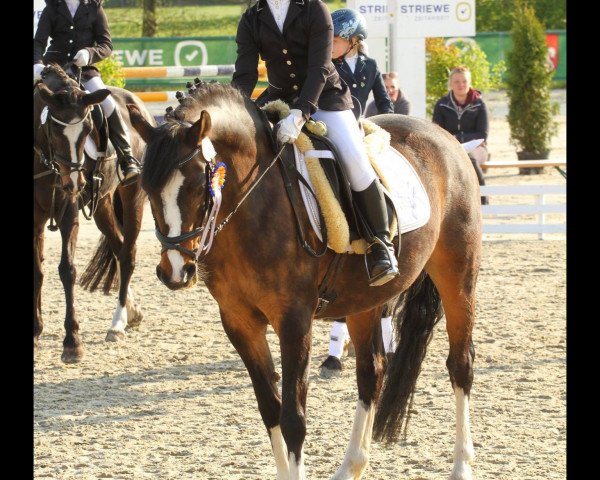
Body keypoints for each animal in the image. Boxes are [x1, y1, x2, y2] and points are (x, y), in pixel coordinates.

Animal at [33, 64, 155, 364]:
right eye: (54, 128)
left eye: (87, 127)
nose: (73, 184)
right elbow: (37, 272)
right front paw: (35, 334)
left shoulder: (68, 214)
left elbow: (67, 270)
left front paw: (72, 343)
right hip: (102, 205)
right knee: (118, 246)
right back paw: (131, 314)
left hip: (132, 197)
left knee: (128, 254)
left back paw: (117, 323)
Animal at [127, 83, 482, 480]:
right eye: (146, 187)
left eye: (195, 185)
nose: (175, 271)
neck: (252, 206)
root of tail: (444, 136)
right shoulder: (239, 322)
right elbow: (270, 409)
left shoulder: (294, 321)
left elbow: (293, 418)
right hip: (364, 301)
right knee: (372, 371)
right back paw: (352, 466)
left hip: (458, 276)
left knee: (460, 365)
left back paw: (461, 465)